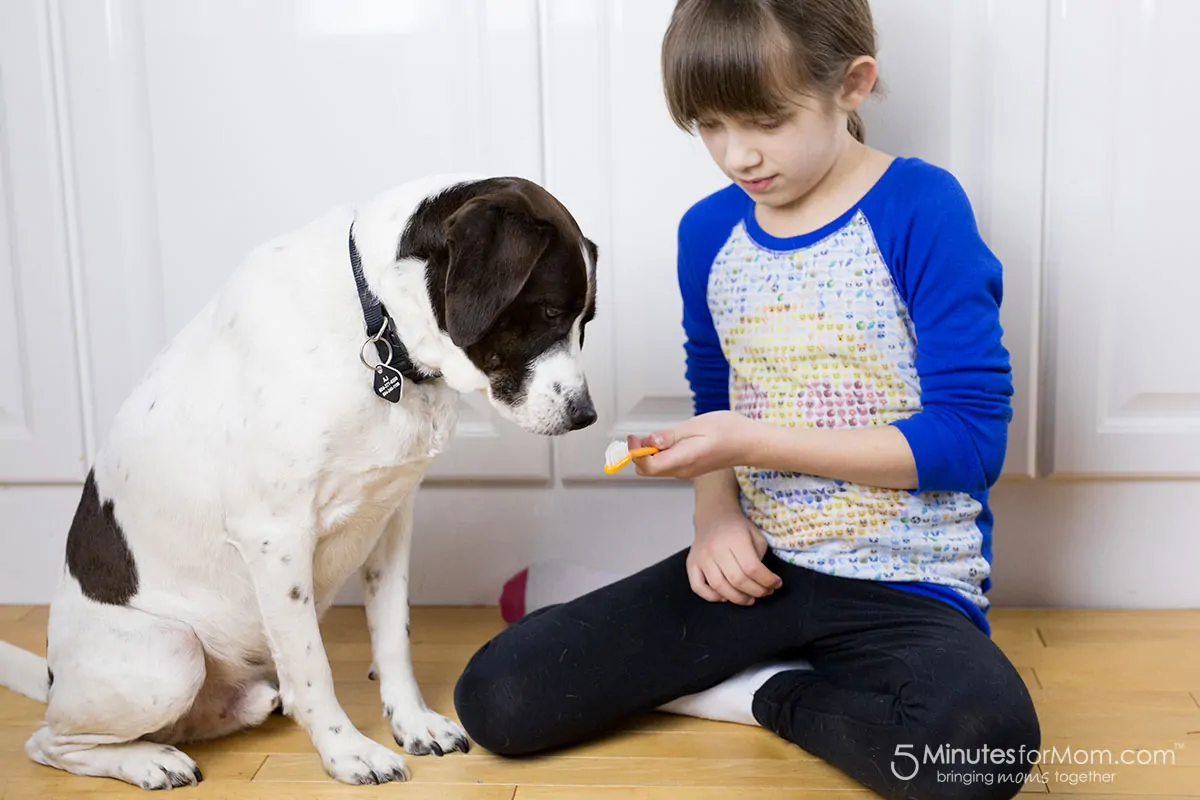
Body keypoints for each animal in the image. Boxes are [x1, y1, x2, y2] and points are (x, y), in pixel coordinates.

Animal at [0, 173, 600, 786]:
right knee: (48, 742)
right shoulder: (275, 538)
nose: (586, 416)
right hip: (171, 654)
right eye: (549, 311)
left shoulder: (391, 519)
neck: (375, 325)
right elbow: (313, 670)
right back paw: (148, 760)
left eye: (586, 322)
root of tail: (52, 678)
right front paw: (348, 751)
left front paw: (412, 723)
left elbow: (394, 639)